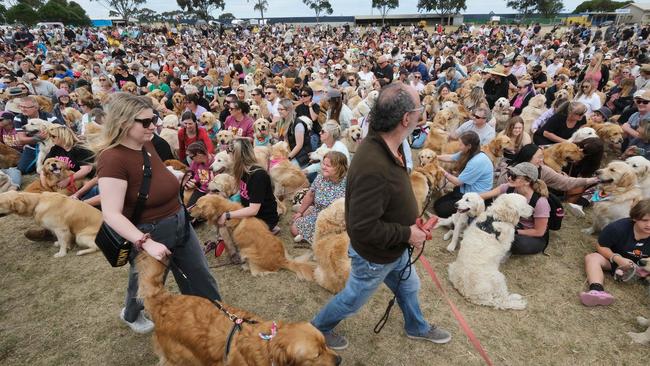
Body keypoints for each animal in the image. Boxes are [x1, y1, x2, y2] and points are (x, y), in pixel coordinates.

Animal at [135, 252, 342, 366]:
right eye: (316, 355)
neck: (269, 344)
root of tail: (165, 300)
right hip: (183, 357)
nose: (339, 360)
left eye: (325, 344)